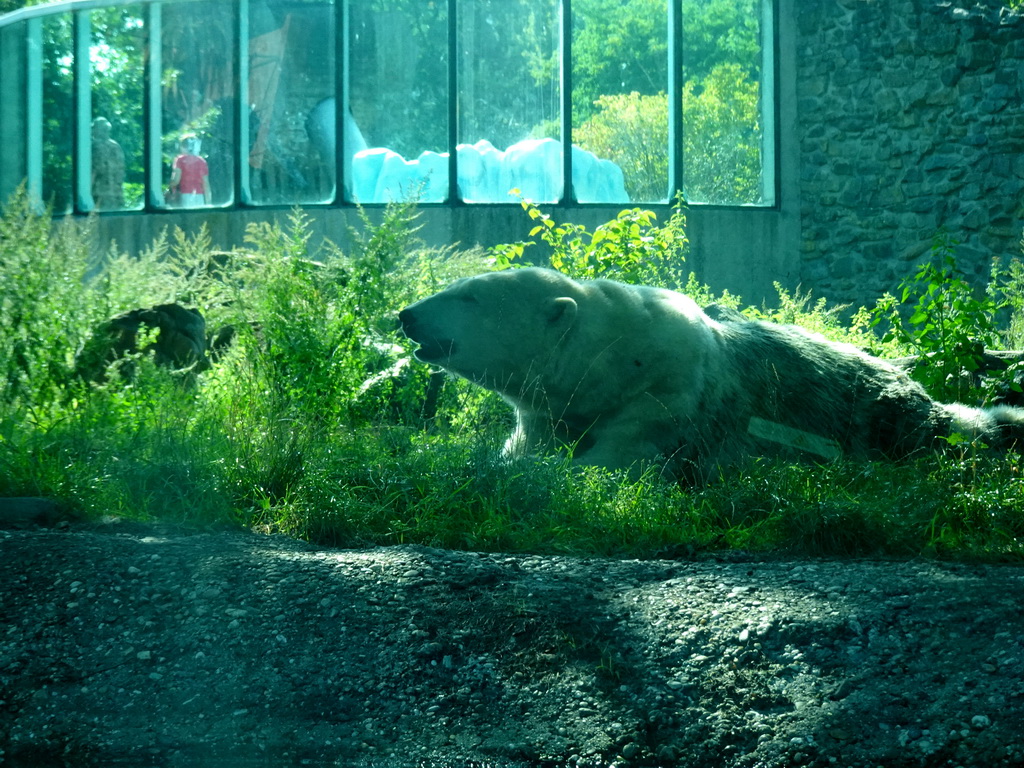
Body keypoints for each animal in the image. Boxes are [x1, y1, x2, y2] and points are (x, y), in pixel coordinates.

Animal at [395, 268, 1019, 481]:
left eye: (470, 296)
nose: (407, 314)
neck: (610, 359)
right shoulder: (549, 410)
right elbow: (525, 446)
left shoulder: (666, 395)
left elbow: (615, 462)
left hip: (879, 415)